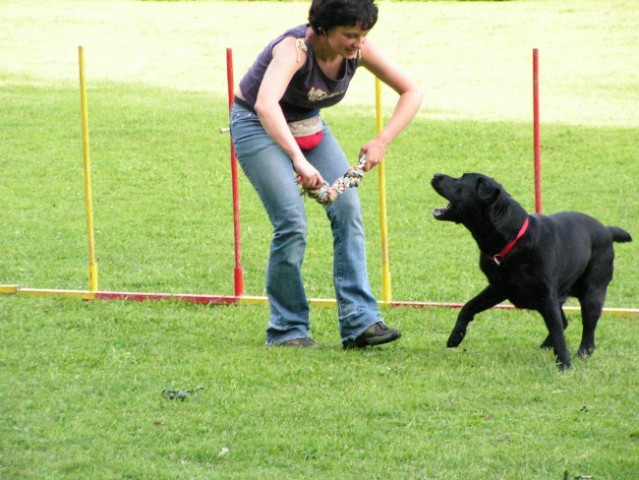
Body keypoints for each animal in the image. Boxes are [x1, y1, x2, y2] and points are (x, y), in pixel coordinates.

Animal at [432, 172, 632, 368]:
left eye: (460, 181)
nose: (435, 175)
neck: (513, 240)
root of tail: (607, 230)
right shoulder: (498, 288)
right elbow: (468, 306)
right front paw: (456, 336)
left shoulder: (546, 297)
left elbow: (558, 333)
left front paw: (565, 365)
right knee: (564, 322)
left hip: (592, 294)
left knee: (588, 335)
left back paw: (580, 355)